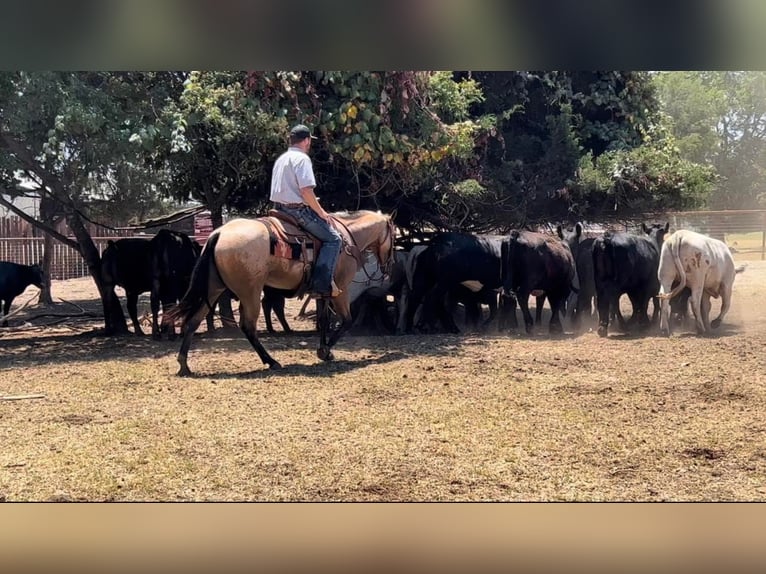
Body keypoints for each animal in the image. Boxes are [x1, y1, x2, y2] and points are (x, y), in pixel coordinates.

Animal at [168, 208, 396, 378]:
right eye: (394, 237)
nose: (389, 266)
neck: (348, 238)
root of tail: (218, 234)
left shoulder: (324, 292)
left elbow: (323, 320)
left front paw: (324, 349)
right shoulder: (341, 289)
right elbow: (346, 321)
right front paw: (325, 352)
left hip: (214, 288)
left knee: (194, 320)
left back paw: (183, 364)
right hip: (250, 293)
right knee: (248, 326)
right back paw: (271, 361)